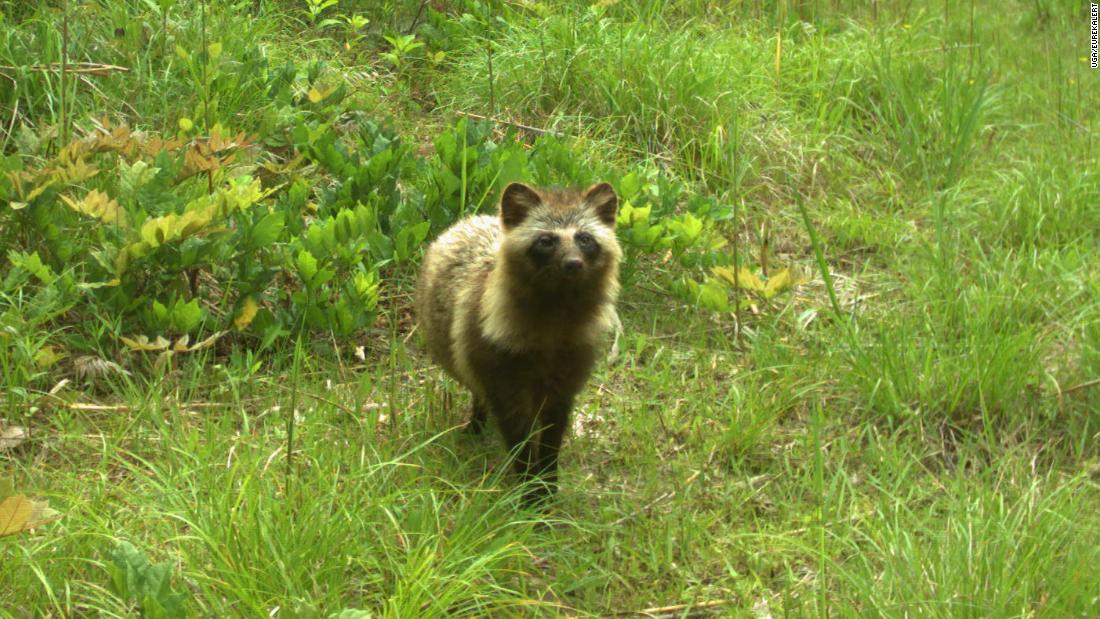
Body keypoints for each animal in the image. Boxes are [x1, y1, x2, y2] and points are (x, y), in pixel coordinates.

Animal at [413, 181, 624, 505]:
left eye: (585, 239)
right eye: (546, 241)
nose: (573, 264)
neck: (556, 312)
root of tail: (470, 220)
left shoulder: (568, 371)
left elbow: (551, 436)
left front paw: (547, 482)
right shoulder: (499, 368)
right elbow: (517, 436)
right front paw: (528, 487)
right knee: (479, 391)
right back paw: (477, 423)